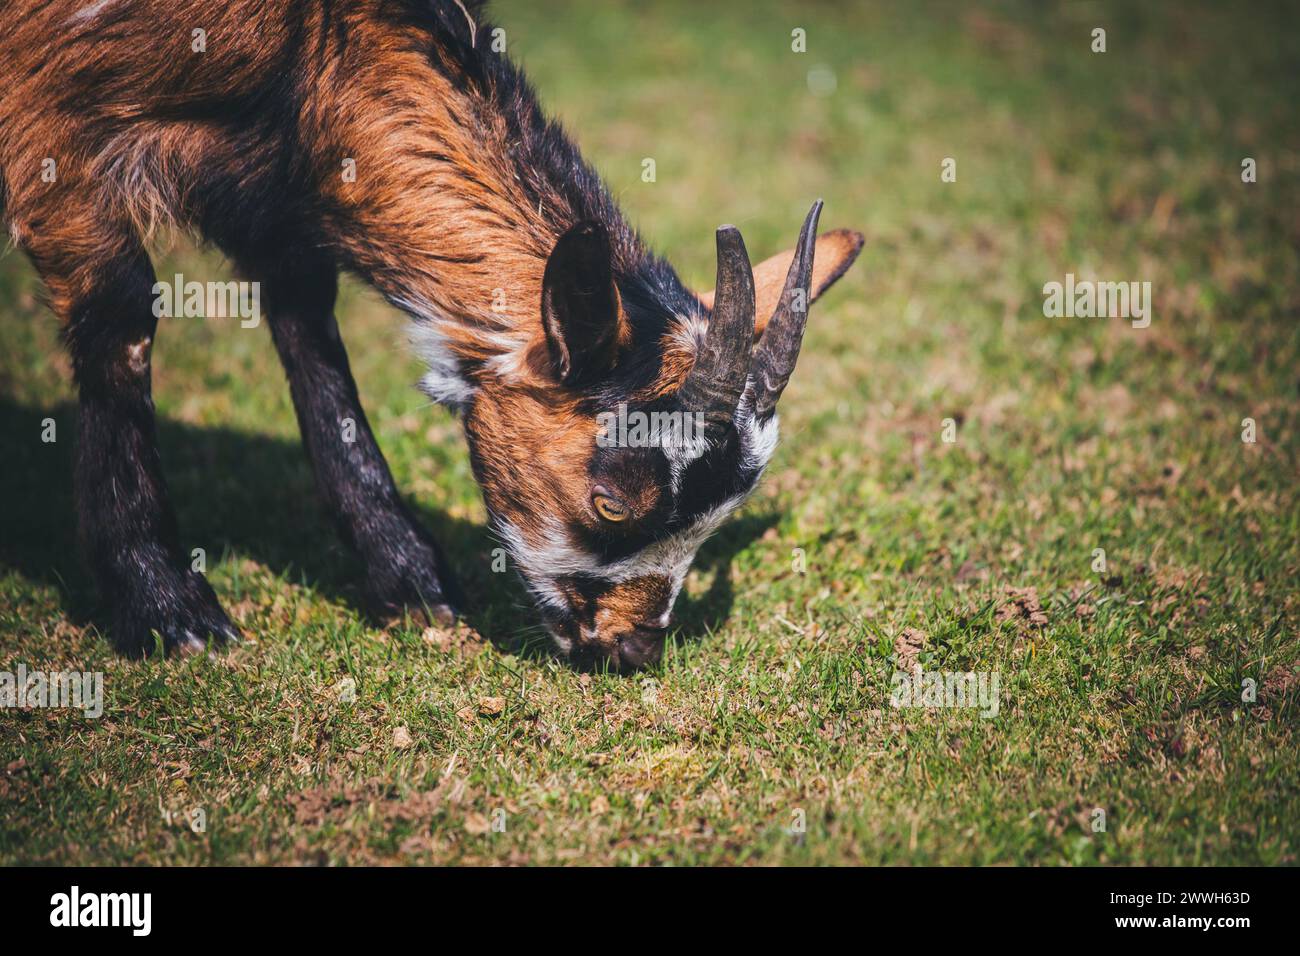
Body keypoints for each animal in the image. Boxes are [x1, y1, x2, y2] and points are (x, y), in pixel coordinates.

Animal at [0, 0, 863, 671]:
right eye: (612, 501)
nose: (632, 648)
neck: (313, 42)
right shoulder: (50, 119)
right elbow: (120, 318)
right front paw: (165, 606)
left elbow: (306, 319)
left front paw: (409, 579)